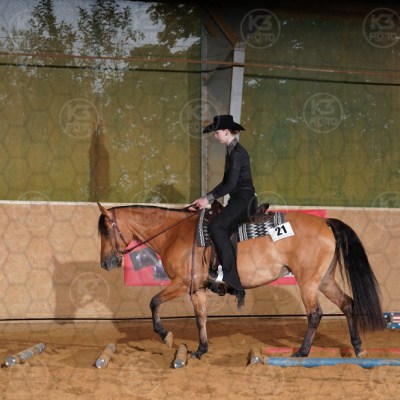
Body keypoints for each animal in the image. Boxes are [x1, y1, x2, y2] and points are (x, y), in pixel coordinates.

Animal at [97, 202, 385, 359]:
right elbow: (200, 318)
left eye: (107, 231)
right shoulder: (196, 289)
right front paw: (200, 350)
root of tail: (325, 223)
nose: (105, 264)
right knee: (347, 304)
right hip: (323, 280)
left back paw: (302, 353)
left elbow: (154, 302)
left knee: (315, 314)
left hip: (308, 283)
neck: (175, 234)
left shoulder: (182, 283)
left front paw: (165, 335)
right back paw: (358, 348)